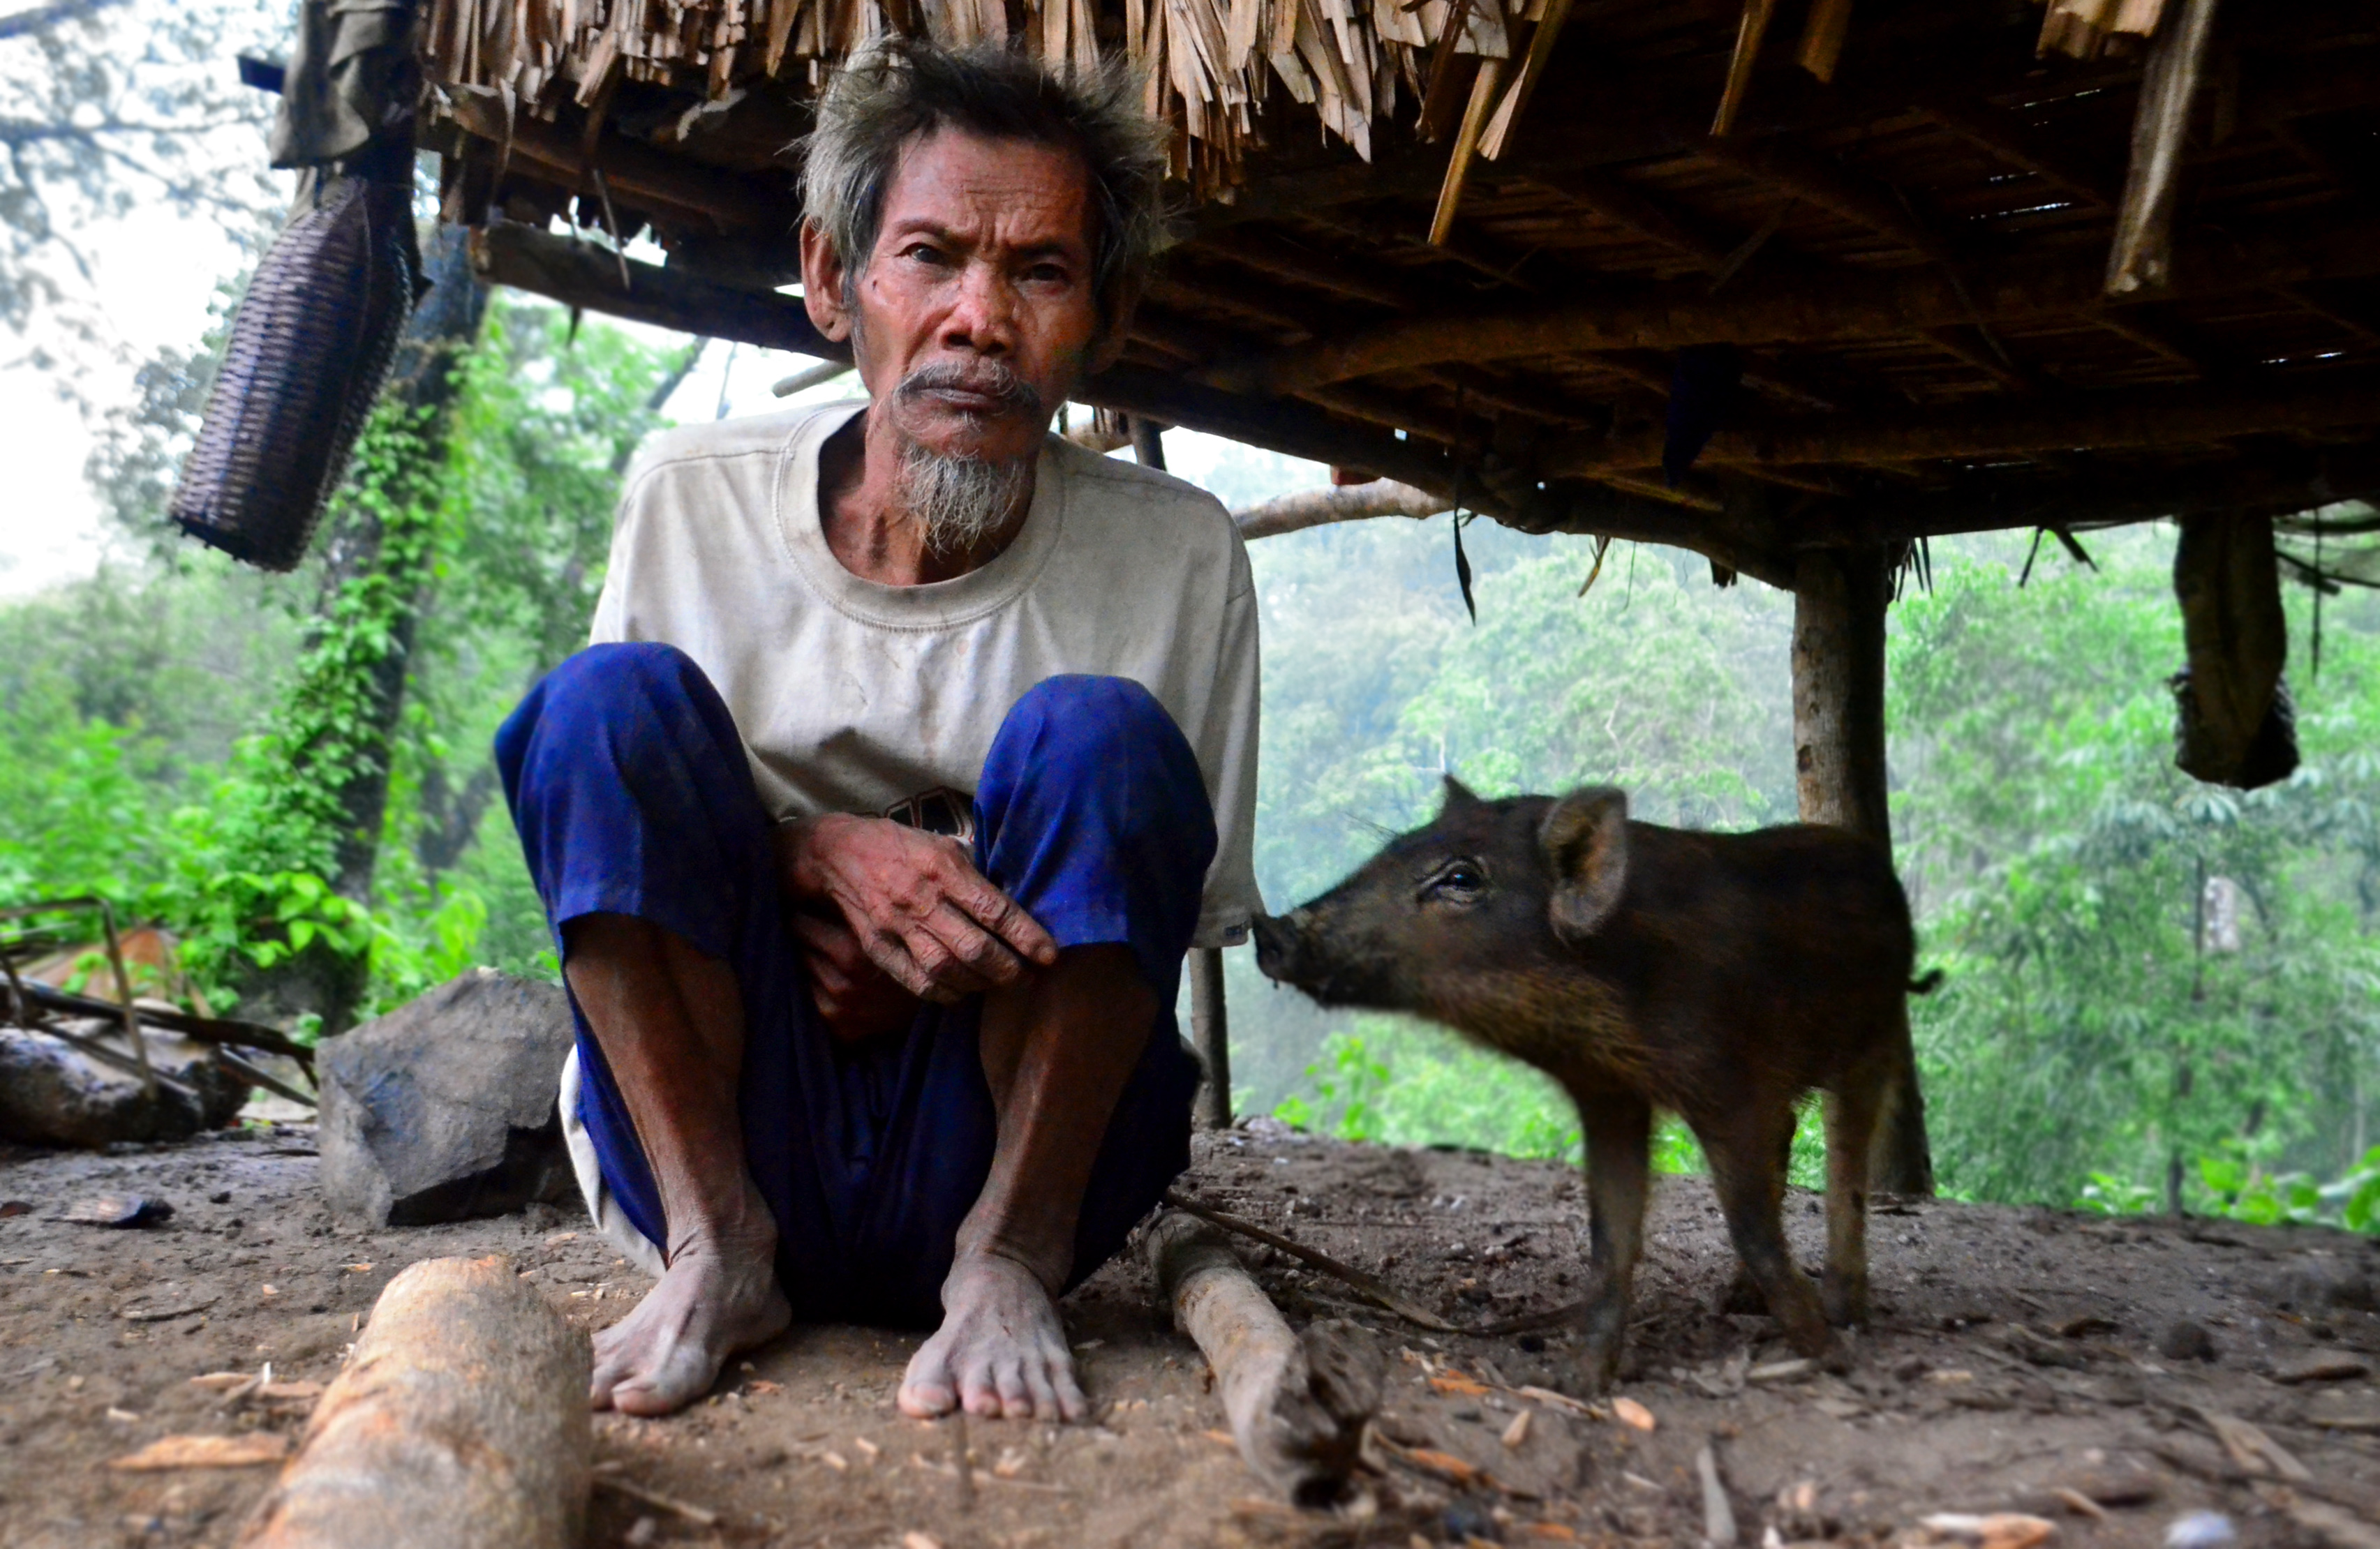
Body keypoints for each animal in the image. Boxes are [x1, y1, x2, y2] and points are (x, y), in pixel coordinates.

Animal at [1256, 780, 1923, 1389]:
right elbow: (1610, 1234)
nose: (1269, 931)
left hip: (1878, 1034)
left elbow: (1751, 1223)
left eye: (1462, 879)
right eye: (1392, 848)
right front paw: (1576, 1383)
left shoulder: (1729, 1087)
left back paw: (1844, 1312)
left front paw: (1829, 1356)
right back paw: (1736, 1302)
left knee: (1846, 1159)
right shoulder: (1610, 1095)